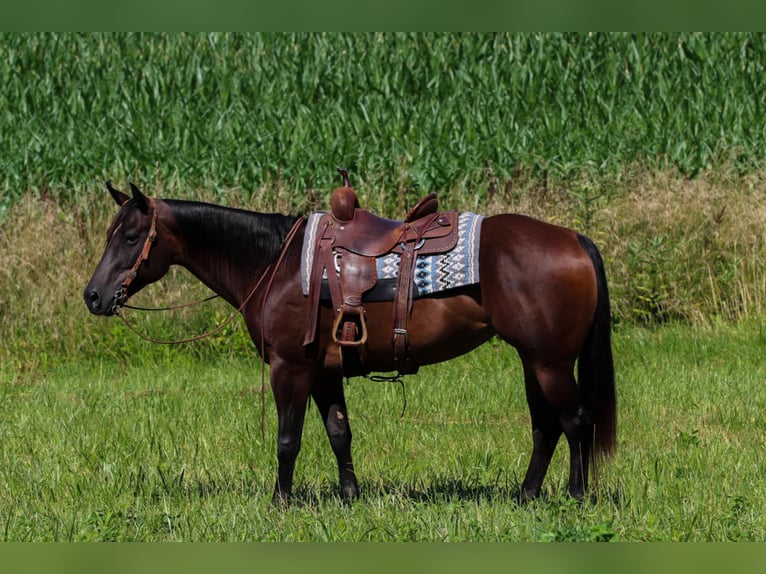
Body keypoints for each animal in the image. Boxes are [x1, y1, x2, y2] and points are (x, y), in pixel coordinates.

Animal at [84, 180, 616, 505]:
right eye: (111, 234)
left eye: (130, 238)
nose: (93, 296)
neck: (275, 265)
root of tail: (573, 239)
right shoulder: (324, 372)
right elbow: (339, 432)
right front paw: (349, 496)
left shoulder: (291, 368)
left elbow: (288, 439)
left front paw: (280, 502)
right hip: (533, 360)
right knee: (546, 427)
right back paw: (527, 495)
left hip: (549, 362)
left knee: (575, 420)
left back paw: (576, 495)